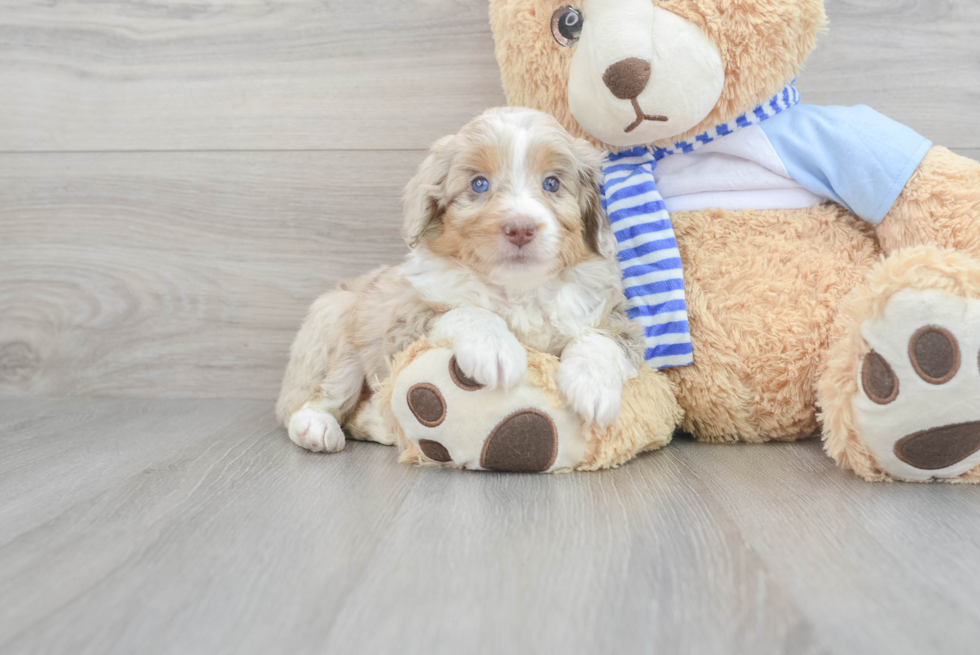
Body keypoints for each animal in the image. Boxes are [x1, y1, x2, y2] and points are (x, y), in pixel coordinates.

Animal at [276, 109, 644, 456]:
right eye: (479, 184)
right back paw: (317, 427)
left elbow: (602, 338)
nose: (520, 228)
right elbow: (465, 310)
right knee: (313, 398)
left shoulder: (612, 312)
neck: (519, 289)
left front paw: (593, 386)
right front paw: (496, 350)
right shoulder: (405, 322)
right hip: (334, 325)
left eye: (552, 184)